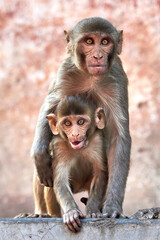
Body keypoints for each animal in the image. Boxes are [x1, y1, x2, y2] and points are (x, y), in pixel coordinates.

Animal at [31, 16, 131, 219]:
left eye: (105, 42)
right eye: (89, 41)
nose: (98, 56)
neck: (91, 77)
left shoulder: (117, 80)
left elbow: (119, 137)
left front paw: (112, 207)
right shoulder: (66, 72)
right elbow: (49, 107)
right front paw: (39, 153)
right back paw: (42, 213)